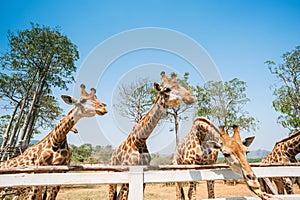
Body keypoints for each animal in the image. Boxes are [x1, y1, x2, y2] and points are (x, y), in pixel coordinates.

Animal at [109, 72, 196, 200]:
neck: (139, 140)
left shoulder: (144, 173)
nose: (190, 97)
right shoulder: (129, 169)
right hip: (112, 176)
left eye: (179, 85)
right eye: (167, 89)